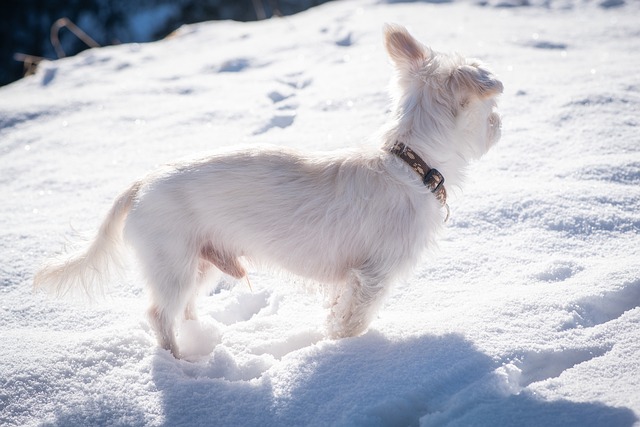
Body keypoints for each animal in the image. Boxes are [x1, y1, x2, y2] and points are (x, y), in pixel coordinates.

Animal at [35, 23, 502, 358]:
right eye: (492, 111)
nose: (500, 127)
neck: (409, 162)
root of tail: (139, 184)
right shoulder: (372, 275)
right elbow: (351, 322)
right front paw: (343, 353)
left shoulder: (350, 279)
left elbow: (339, 310)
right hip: (173, 264)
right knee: (158, 314)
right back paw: (179, 363)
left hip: (201, 263)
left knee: (184, 309)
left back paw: (202, 338)